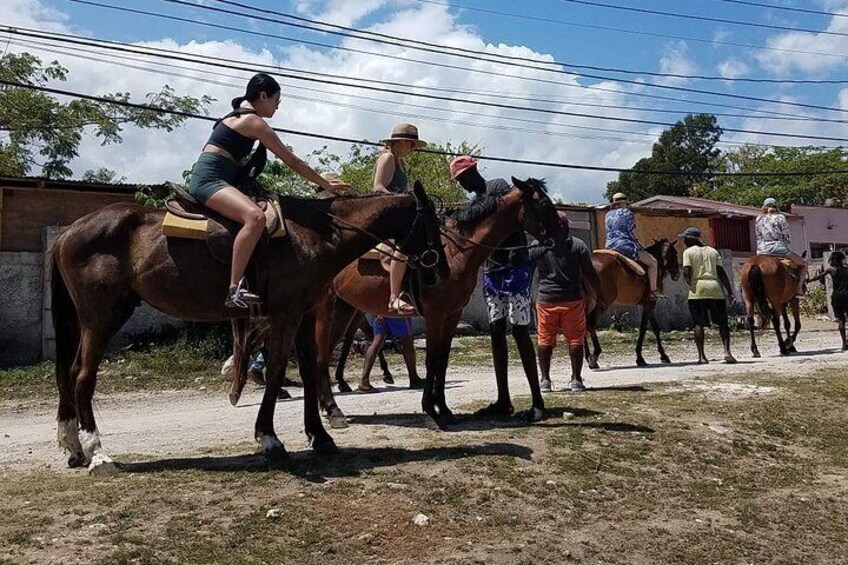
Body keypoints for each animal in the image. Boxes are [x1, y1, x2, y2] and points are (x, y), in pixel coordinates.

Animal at [48, 184, 444, 472]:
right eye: (431, 222)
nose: (437, 267)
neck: (314, 235)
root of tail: (69, 231)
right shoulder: (286, 315)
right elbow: (277, 370)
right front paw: (269, 438)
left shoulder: (304, 315)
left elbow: (309, 371)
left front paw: (319, 437)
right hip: (101, 316)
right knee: (82, 376)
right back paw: (98, 452)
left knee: (68, 372)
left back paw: (74, 447)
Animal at [314, 178, 564, 430]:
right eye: (544, 204)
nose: (561, 234)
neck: (456, 252)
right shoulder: (435, 314)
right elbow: (431, 359)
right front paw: (430, 410)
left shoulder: (453, 314)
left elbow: (442, 360)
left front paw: (443, 409)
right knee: (322, 354)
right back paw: (332, 409)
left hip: (345, 310)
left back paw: (327, 405)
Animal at [588, 239, 680, 368]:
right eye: (675, 254)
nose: (677, 274)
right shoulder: (650, 303)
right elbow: (644, 328)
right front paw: (640, 358)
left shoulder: (648, 304)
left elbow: (655, 328)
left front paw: (663, 356)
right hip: (603, 302)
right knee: (590, 323)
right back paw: (594, 356)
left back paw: (588, 358)